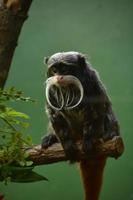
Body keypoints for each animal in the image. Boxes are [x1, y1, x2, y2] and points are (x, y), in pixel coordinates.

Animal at [41, 51, 119, 200]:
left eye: (64, 69)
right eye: (54, 70)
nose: (58, 77)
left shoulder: (93, 82)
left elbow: (97, 109)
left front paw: (89, 140)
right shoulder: (50, 90)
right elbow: (54, 114)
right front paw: (67, 143)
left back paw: (107, 135)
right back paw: (51, 138)